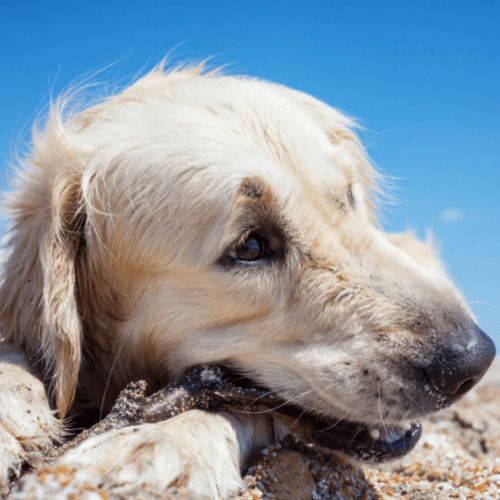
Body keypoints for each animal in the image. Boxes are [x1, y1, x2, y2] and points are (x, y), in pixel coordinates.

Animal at [0, 63, 496, 500]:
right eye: (251, 246)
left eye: (347, 197)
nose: (473, 360)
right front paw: (12, 416)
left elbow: (230, 411)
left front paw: (156, 447)